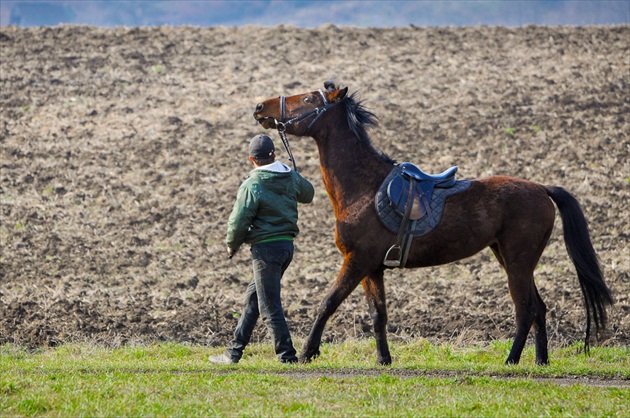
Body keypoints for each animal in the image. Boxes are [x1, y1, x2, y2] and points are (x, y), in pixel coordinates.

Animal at [254, 81, 616, 366]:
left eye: (308, 99)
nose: (260, 107)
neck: (363, 187)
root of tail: (542, 188)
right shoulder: (373, 268)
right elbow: (378, 315)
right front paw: (383, 359)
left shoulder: (356, 261)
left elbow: (327, 303)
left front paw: (307, 352)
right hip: (510, 258)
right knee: (539, 308)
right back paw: (541, 361)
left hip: (517, 262)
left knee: (525, 309)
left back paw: (512, 360)